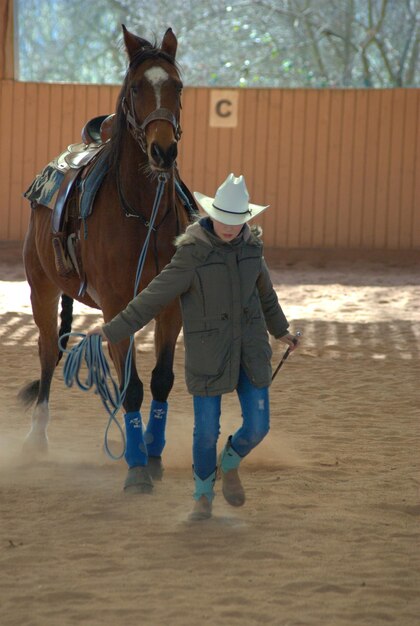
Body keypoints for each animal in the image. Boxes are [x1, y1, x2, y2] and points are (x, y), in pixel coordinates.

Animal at [18, 25, 196, 492]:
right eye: (135, 88)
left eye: (178, 86)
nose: (163, 152)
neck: (143, 213)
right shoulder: (118, 305)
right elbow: (131, 386)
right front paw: (136, 471)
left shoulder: (170, 307)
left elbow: (160, 381)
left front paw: (152, 454)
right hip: (41, 289)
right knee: (48, 352)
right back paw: (36, 439)